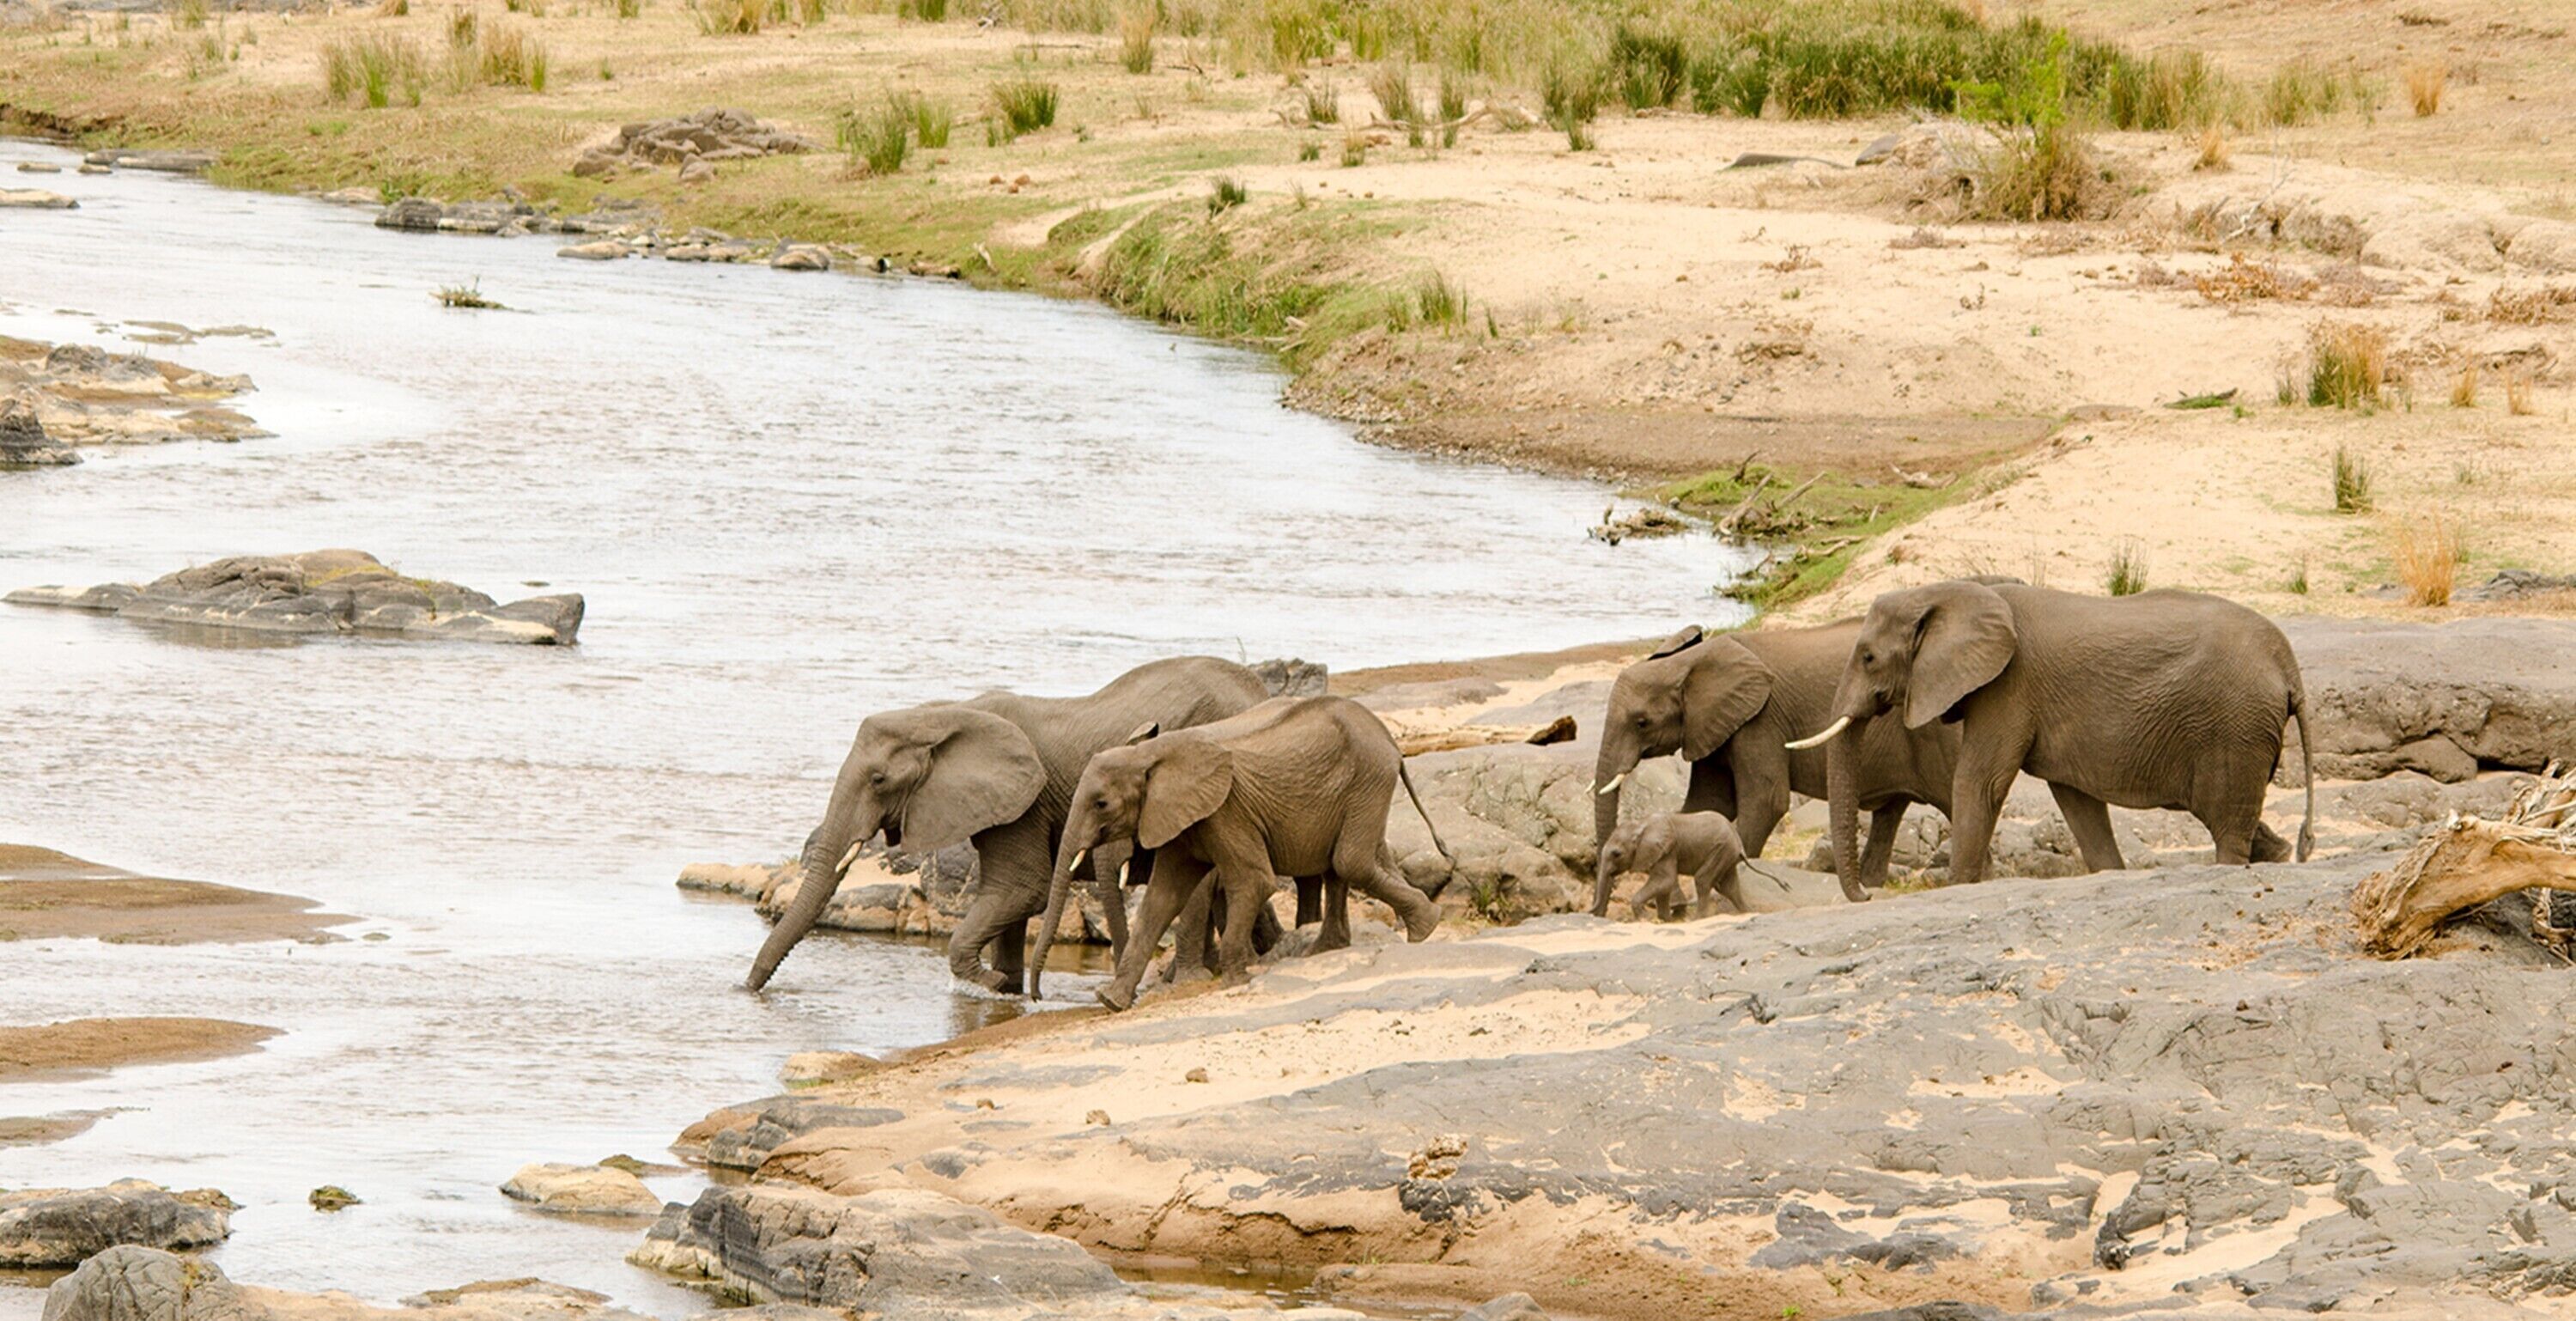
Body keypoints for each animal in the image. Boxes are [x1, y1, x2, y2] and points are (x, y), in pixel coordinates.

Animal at [745, 656, 1269, 995]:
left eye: (878, 780)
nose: (747, 989)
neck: (946, 712)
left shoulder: (1025, 801)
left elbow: (1021, 886)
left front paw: (989, 981)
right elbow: (1008, 896)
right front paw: (1008, 987)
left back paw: (1187, 981)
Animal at [1033, 696, 1449, 1008]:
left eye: (1101, 804)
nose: (1037, 997)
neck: (1152, 752)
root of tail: (1392, 742)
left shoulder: (1225, 811)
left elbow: (1253, 881)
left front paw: (1233, 980)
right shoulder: (1184, 818)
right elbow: (1162, 898)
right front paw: (1111, 1001)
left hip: (1368, 778)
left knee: (1350, 861)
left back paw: (1426, 926)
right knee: (1343, 863)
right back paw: (1327, 949)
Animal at [1593, 618, 1978, 900]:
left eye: (1641, 722)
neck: (1690, 661)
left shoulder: (1761, 720)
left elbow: (1766, 802)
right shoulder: (1714, 726)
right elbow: (1708, 805)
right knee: (1890, 813)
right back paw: (1872, 887)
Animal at [1593, 810, 1747, 920]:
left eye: (1617, 854)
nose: (1592, 912)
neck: (1640, 824)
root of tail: (1738, 840)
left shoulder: (1667, 850)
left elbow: (1665, 880)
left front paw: (1645, 918)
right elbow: (1663, 886)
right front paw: (1665, 920)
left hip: (1721, 849)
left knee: (1703, 880)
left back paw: (1698, 918)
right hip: (1726, 854)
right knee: (1728, 887)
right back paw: (1746, 912)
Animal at [1787, 580, 2316, 887]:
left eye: (1868, 658)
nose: (1863, 894)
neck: (1950, 591)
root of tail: (2288, 665)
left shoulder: (2008, 685)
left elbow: (1979, 783)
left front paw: (1958, 886)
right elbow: (2075, 798)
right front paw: (2111, 875)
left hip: (2234, 726)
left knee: (2224, 820)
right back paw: (2278, 855)